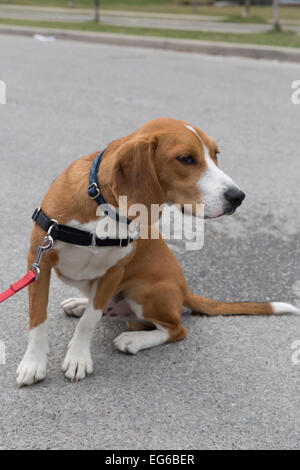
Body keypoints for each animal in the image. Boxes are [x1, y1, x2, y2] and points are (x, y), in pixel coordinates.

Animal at [17, 116, 300, 386]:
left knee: (176, 330)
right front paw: (34, 363)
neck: (106, 206)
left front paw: (77, 358)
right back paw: (80, 304)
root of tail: (184, 290)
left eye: (215, 154)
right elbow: (38, 318)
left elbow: (89, 321)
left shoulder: (113, 273)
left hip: (145, 291)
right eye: (186, 158)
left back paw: (133, 339)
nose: (238, 197)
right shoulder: (39, 262)